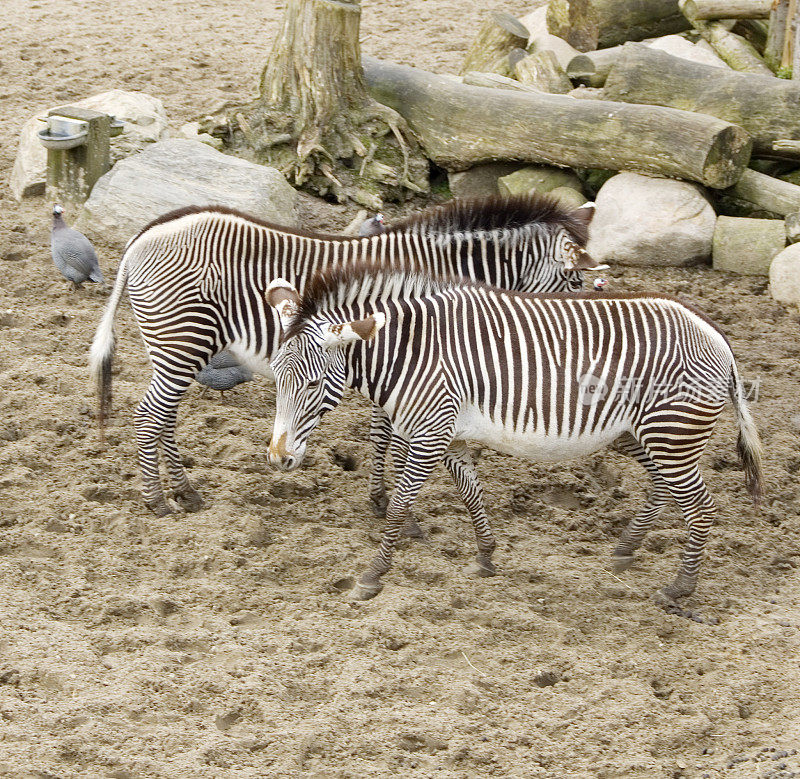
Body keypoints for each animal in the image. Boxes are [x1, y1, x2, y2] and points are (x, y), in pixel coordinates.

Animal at [87, 195, 604, 516]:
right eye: (575, 281)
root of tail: (144, 234)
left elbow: (382, 434)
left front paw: (380, 497)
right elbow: (394, 437)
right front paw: (390, 503)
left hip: (177, 346)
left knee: (165, 417)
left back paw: (186, 492)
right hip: (183, 340)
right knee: (149, 416)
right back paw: (158, 501)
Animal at [264, 262, 764, 604]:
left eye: (312, 384)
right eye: (275, 377)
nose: (277, 459)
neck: (412, 352)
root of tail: (716, 334)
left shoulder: (430, 432)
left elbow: (401, 505)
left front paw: (371, 576)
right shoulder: (450, 434)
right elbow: (471, 492)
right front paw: (486, 555)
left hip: (670, 432)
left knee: (701, 508)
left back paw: (679, 588)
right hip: (643, 434)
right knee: (663, 488)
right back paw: (627, 549)